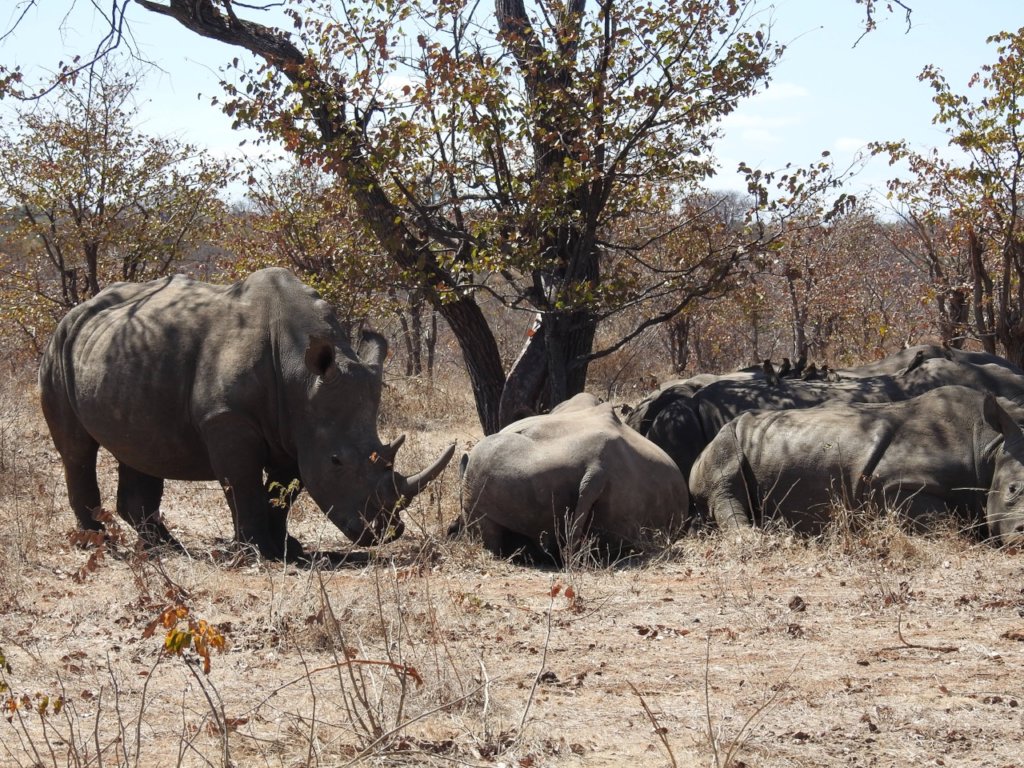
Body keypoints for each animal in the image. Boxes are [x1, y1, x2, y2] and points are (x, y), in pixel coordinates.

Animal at [39, 268, 455, 561]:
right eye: (337, 461)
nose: (386, 532)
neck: (301, 374)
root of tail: (77, 312)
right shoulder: (227, 417)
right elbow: (242, 484)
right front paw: (256, 551)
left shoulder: (296, 428)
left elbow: (284, 491)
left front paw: (287, 547)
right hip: (58, 348)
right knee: (77, 450)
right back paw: (99, 544)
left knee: (139, 447)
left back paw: (168, 549)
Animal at [688, 385, 1024, 545]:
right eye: (1012, 489)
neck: (988, 445)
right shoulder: (894, 484)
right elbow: (945, 524)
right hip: (726, 437)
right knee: (724, 480)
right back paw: (755, 540)